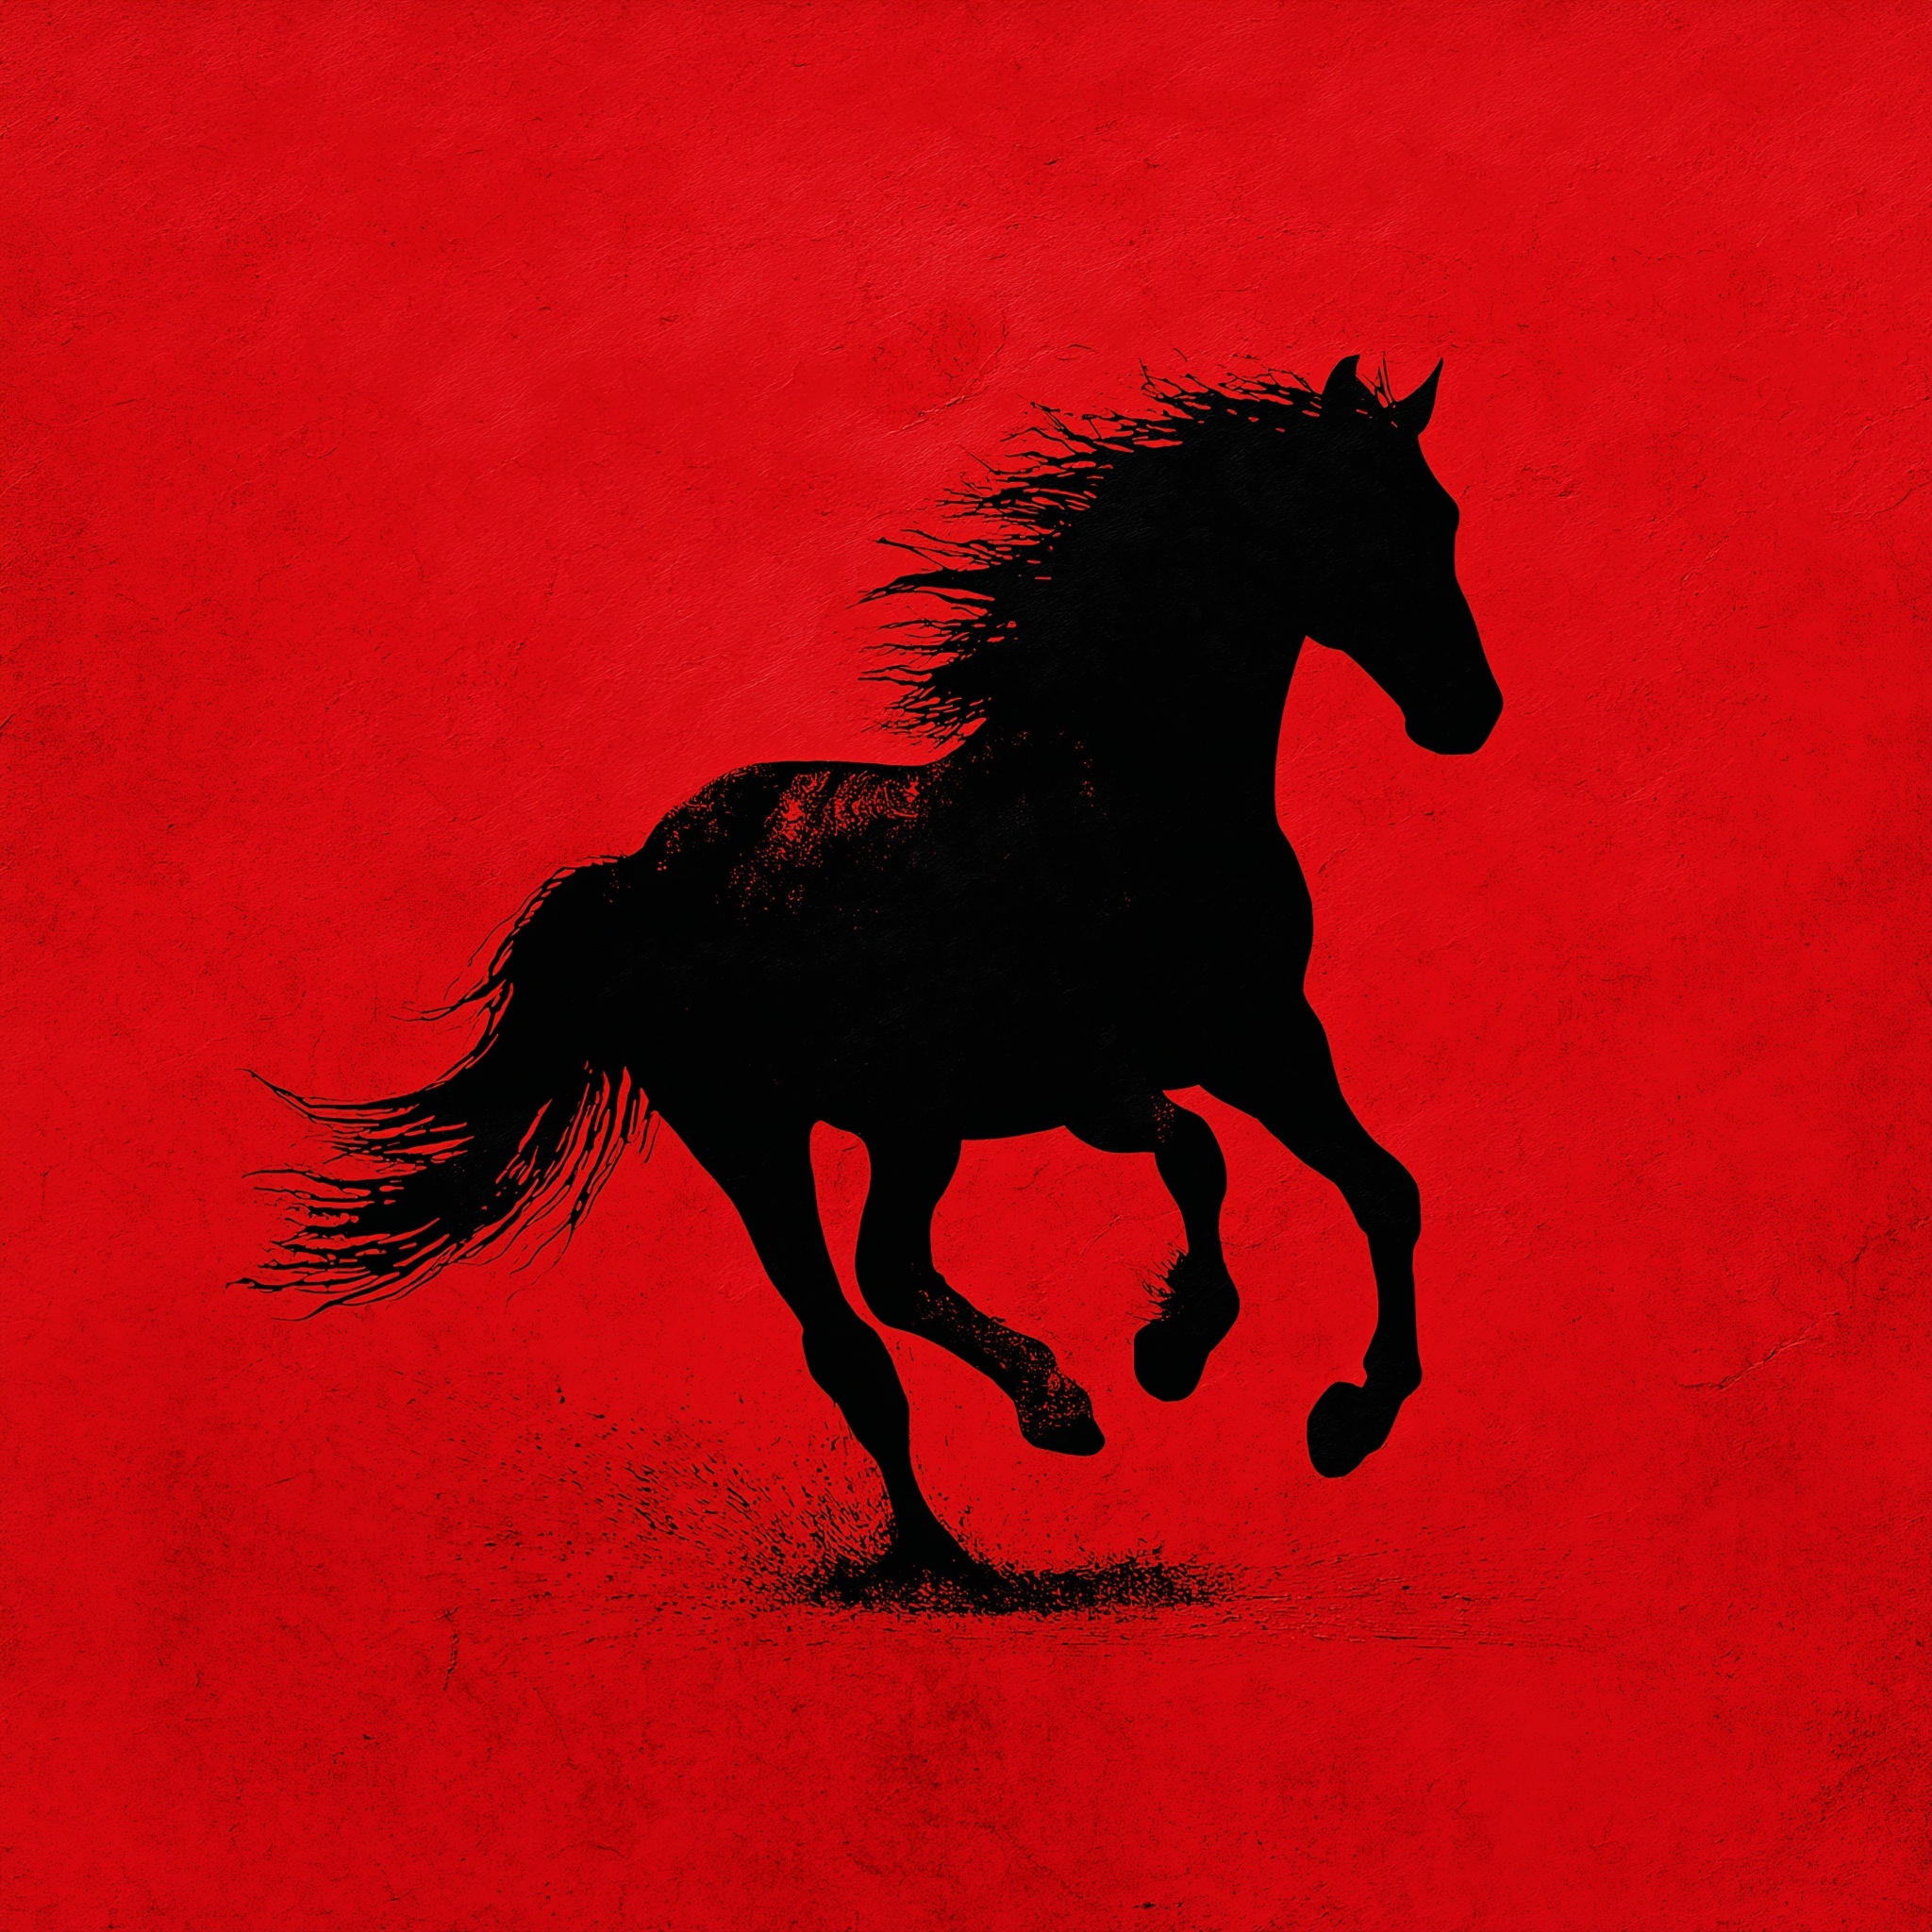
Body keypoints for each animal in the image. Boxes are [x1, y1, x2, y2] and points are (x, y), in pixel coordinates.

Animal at [248, 354, 1503, 1585]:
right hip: (748, 1131)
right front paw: (1171, 1346)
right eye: (1348, 508)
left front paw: (1346, 1420)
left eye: (1439, 512)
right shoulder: (1091, 1078)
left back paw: (1044, 1418)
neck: (1129, 802)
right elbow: (1199, 1154)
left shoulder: (1266, 1040)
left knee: (890, 1268)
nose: (1467, 710)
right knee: (844, 1337)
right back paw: (957, 1536)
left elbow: (1384, 1188)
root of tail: (636, 874)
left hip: (911, 1123)